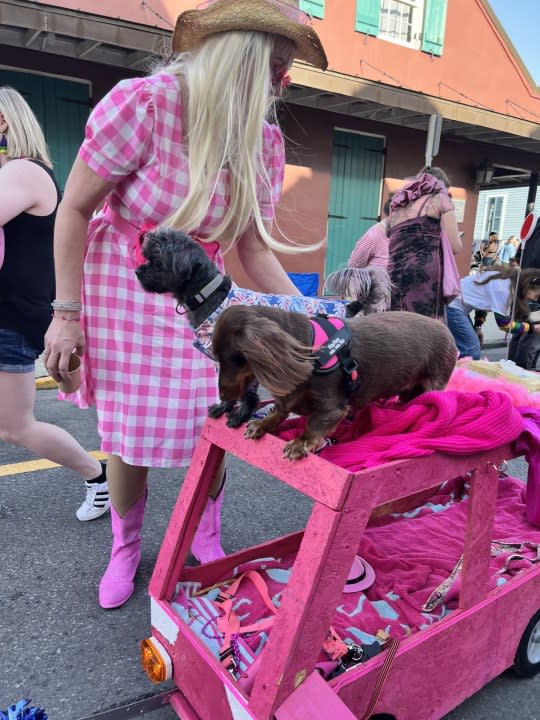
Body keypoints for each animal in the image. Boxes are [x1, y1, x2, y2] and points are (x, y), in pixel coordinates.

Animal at [137, 226, 390, 428]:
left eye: (156, 260)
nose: (138, 271)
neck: (210, 295)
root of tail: (348, 307)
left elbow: (247, 393)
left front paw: (240, 415)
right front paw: (225, 408)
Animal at [211, 306, 456, 462]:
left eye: (235, 359)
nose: (223, 399)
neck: (310, 348)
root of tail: (445, 329)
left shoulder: (332, 408)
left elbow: (314, 425)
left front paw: (301, 442)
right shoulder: (288, 398)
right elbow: (279, 411)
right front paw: (262, 424)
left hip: (433, 382)